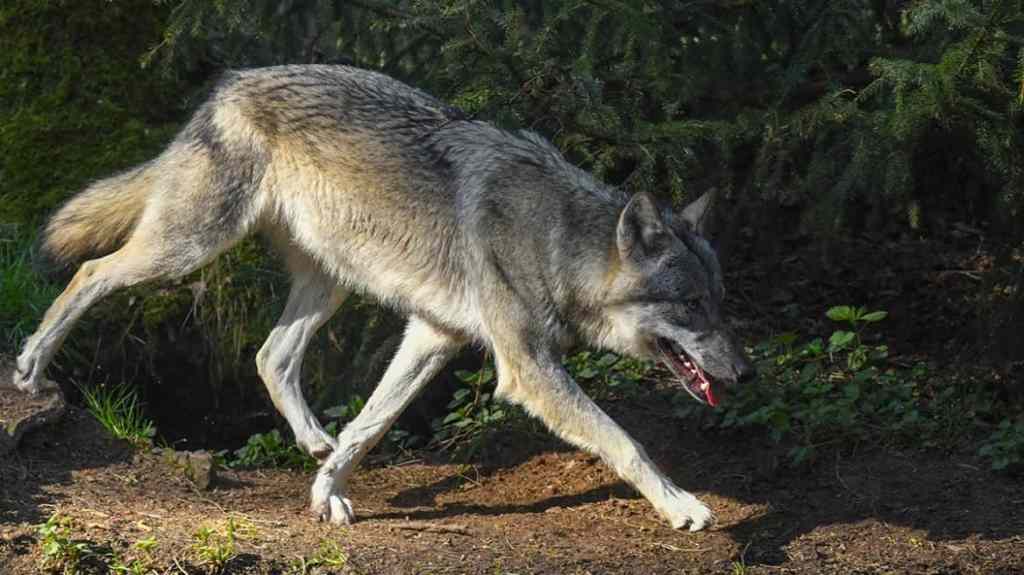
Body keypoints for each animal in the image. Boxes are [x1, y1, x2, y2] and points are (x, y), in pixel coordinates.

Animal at [13, 64, 754, 531]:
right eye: (691, 306)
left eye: (720, 302)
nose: (746, 372)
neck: (553, 236)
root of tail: (226, 86)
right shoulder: (529, 370)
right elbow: (624, 441)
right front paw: (683, 506)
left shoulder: (432, 338)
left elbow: (368, 428)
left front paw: (327, 492)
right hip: (188, 248)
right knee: (90, 273)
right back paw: (30, 365)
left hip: (327, 282)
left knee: (269, 356)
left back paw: (313, 441)